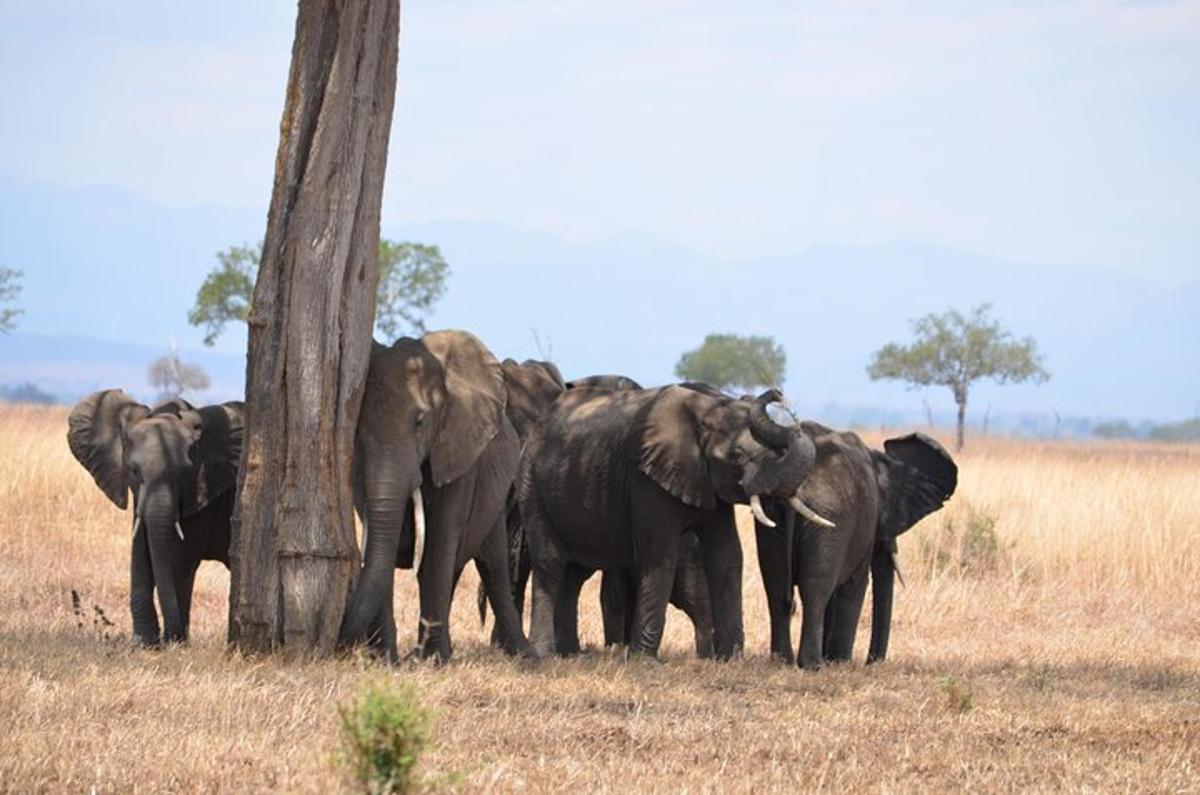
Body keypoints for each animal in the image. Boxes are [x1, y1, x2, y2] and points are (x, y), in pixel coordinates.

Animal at [67, 391, 243, 648]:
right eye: (133, 471)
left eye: (185, 473)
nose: (173, 636)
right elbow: (141, 551)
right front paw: (144, 643)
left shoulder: (200, 492)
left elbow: (178, 561)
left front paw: (173, 643)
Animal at [333, 331, 530, 667]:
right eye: (358, 429)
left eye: (420, 422)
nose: (341, 644)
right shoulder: (359, 465)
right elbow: (381, 545)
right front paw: (386, 661)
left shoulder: (458, 452)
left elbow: (438, 544)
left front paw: (435, 661)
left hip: (496, 499)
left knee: (493, 567)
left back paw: (525, 656)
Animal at [520, 386, 830, 658]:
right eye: (737, 455)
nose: (776, 394)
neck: (709, 409)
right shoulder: (647, 480)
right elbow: (660, 555)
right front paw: (645, 660)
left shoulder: (709, 486)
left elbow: (727, 555)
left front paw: (730, 659)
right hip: (532, 484)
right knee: (550, 563)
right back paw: (545, 656)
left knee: (573, 575)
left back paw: (569, 653)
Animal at [753, 427, 960, 667]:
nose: (872, 662)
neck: (882, 461)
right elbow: (855, 584)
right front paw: (840, 661)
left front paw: (833, 658)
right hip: (831, 516)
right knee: (816, 587)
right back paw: (813, 665)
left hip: (773, 516)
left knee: (775, 584)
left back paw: (782, 661)